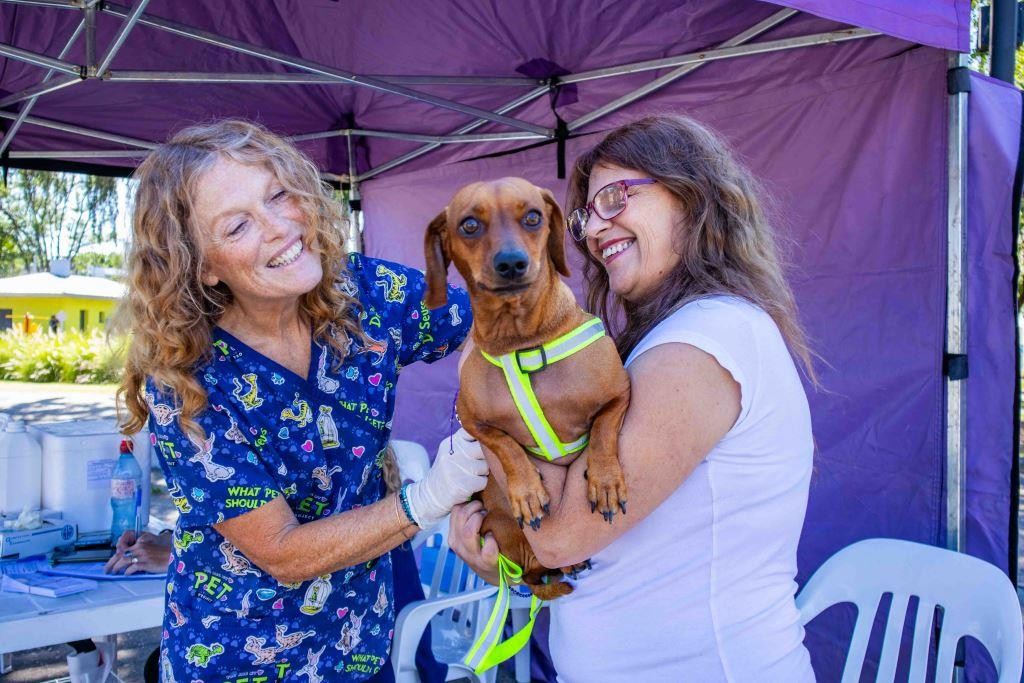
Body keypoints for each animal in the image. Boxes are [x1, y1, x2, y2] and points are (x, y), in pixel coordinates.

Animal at [419, 178, 626, 598]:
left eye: (533, 217)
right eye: (469, 225)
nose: (512, 263)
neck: (522, 343)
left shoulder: (619, 392)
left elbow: (604, 428)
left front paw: (605, 480)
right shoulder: (472, 420)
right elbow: (506, 447)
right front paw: (527, 492)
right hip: (505, 530)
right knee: (532, 573)